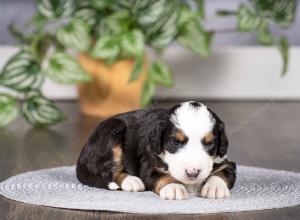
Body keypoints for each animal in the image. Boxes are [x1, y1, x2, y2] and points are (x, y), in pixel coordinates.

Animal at [76, 101, 236, 199]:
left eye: (210, 144)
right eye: (175, 142)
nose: (193, 172)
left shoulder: (226, 162)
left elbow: (222, 172)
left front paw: (215, 187)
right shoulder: (149, 165)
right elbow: (161, 176)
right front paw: (173, 187)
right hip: (112, 132)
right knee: (109, 171)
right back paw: (132, 181)